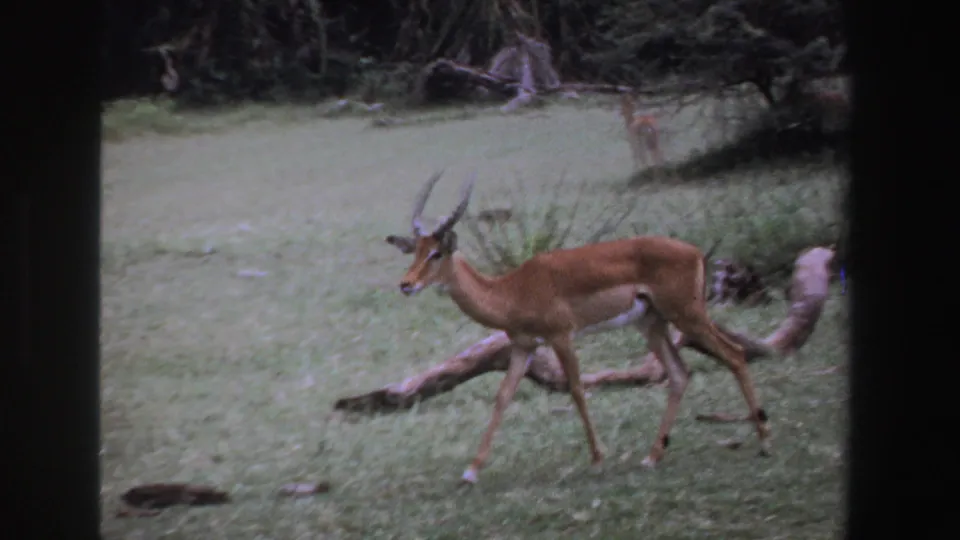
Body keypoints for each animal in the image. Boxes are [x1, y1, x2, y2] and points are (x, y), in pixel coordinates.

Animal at [385, 170, 771, 484]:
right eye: (414, 251)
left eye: (436, 253)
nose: (406, 284)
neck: (512, 290)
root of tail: (695, 252)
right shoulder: (524, 345)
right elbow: (503, 396)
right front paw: (470, 472)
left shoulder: (561, 336)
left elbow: (576, 390)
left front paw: (598, 460)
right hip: (652, 323)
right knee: (679, 373)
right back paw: (651, 457)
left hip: (687, 315)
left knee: (735, 354)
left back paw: (764, 443)